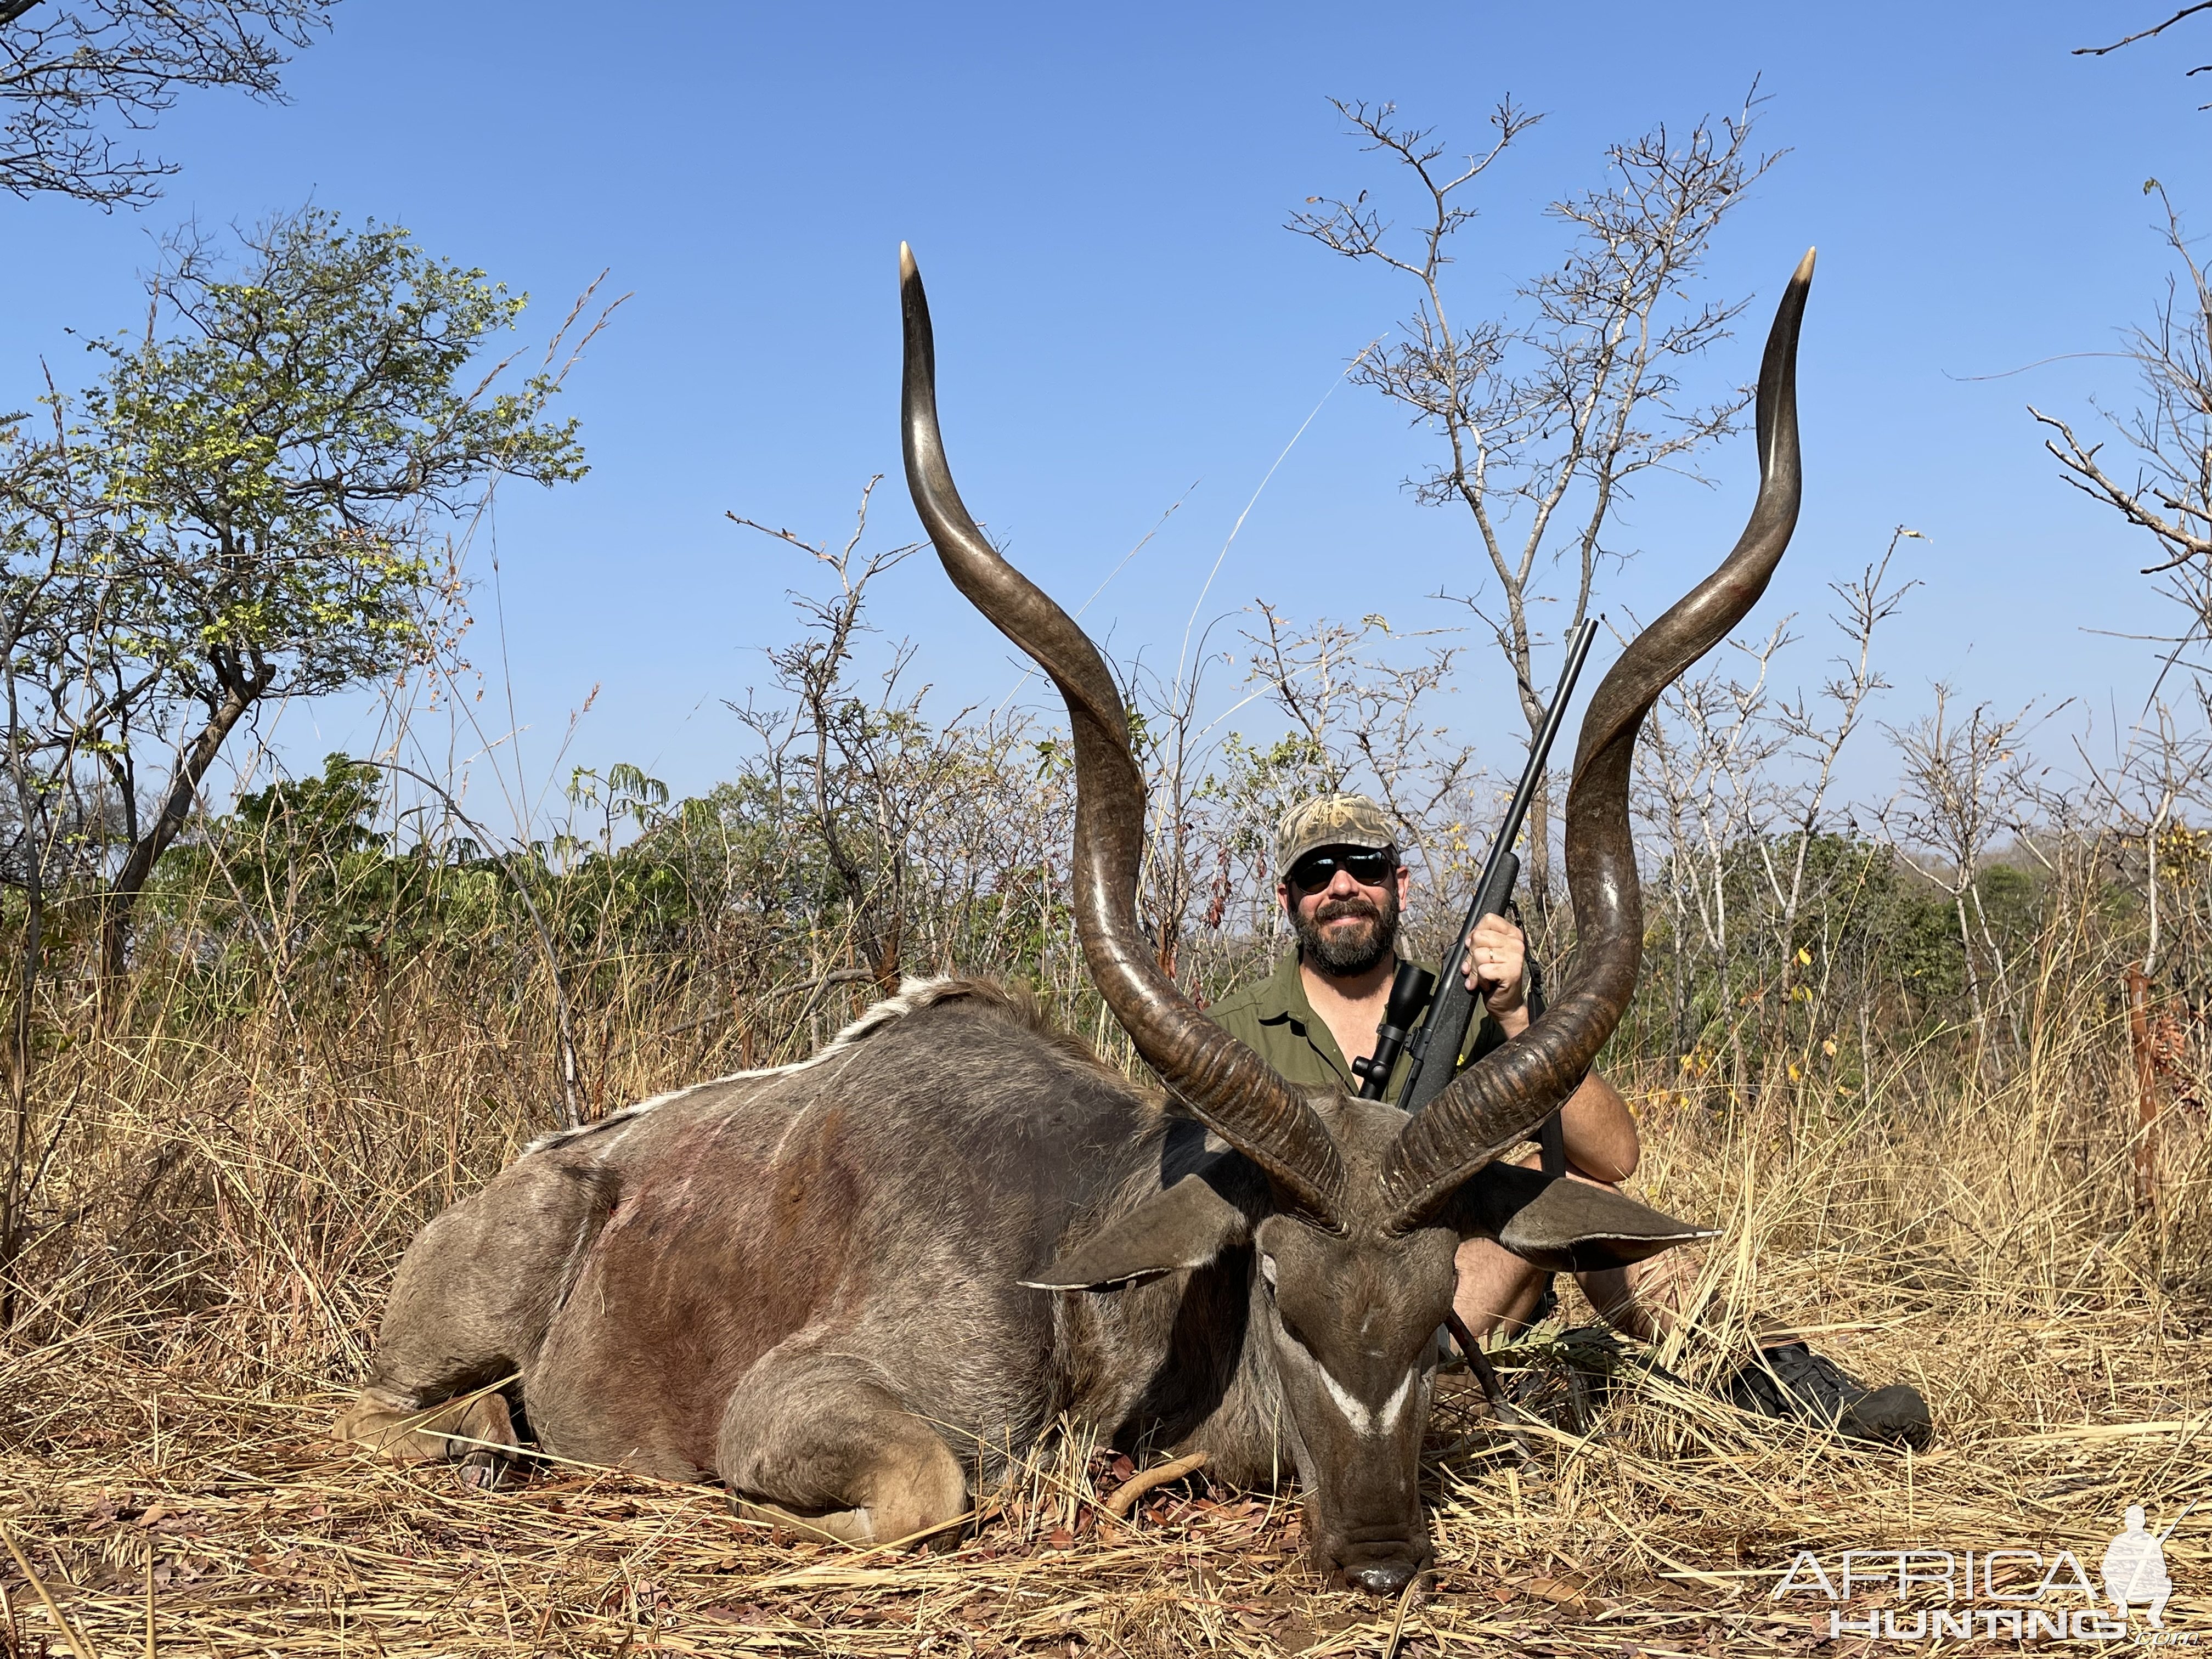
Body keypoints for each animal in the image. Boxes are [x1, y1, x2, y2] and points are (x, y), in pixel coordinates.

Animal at [331, 243, 1814, 1601]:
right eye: (1283, 1294)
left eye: (1436, 1295)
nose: (1382, 1561)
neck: (1081, 1250)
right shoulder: (797, 1405)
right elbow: (930, 1494)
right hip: (439, 1350)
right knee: (414, 1411)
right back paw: (486, 1436)